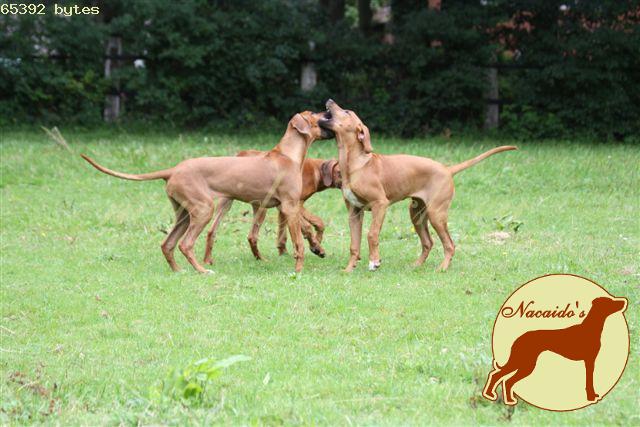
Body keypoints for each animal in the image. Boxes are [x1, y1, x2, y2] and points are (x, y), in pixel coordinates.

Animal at [202, 153, 341, 261]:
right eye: (340, 172)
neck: (315, 170)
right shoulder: (295, 204)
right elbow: (311, 225)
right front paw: (316, 245)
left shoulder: (284, 208)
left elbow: (285, 233)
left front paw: (285, 252)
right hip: (261, 208)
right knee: (252, 236)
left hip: (226, 203)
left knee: (211, 231)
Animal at [319, 99, 517, 272]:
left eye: (346, 112)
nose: (329, 100)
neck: (356, 164)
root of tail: (447, 169)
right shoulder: (354, 212)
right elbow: (354, 245)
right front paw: (348, 269)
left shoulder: (380, 204)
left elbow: (372, 234)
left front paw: (374, 262)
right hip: (416, 213)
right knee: (428, 242)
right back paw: (416, 266)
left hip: (436, 213)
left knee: (450, 244)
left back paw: (442, 268)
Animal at [482, 296, 627, 405]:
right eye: (610, 301)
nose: (624, 302)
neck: (591, 328)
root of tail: (519, 338)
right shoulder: (589, 361)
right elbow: (589, 381)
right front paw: (591, 397)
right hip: (524, 363)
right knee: (500, 377)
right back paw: (494, 396)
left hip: (524, 363)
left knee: (504, 379)